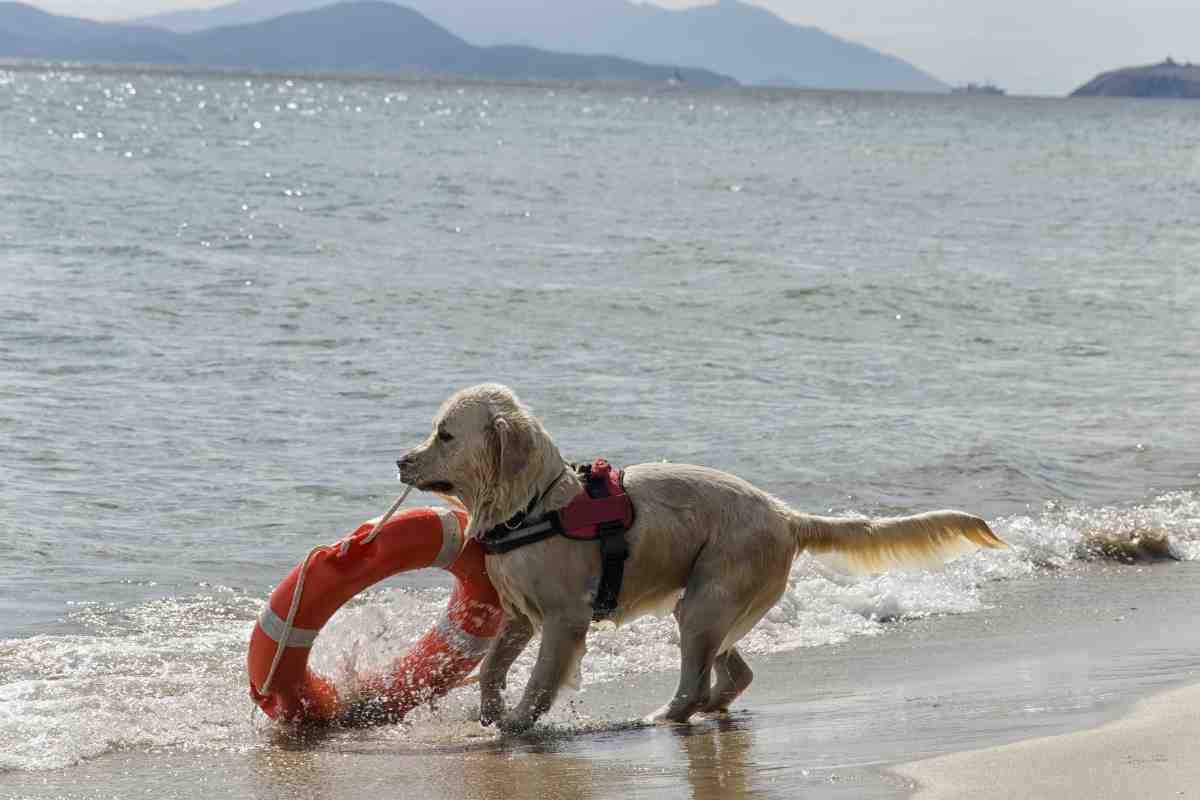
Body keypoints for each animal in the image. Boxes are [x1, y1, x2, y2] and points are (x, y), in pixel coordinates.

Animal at [398, 386, 1008, 734]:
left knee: (694, 683)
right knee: (736, 672)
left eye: (445, 434)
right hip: (710, 607)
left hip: (705, 603)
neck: (533, 505)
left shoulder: (564, 621)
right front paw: (490, 714)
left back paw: (665, 716)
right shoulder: (520, 617)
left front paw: (519, 724)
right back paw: (710, 708)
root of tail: (786, 516)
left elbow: (542, 681)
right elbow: (490, 669)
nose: (400, 460)